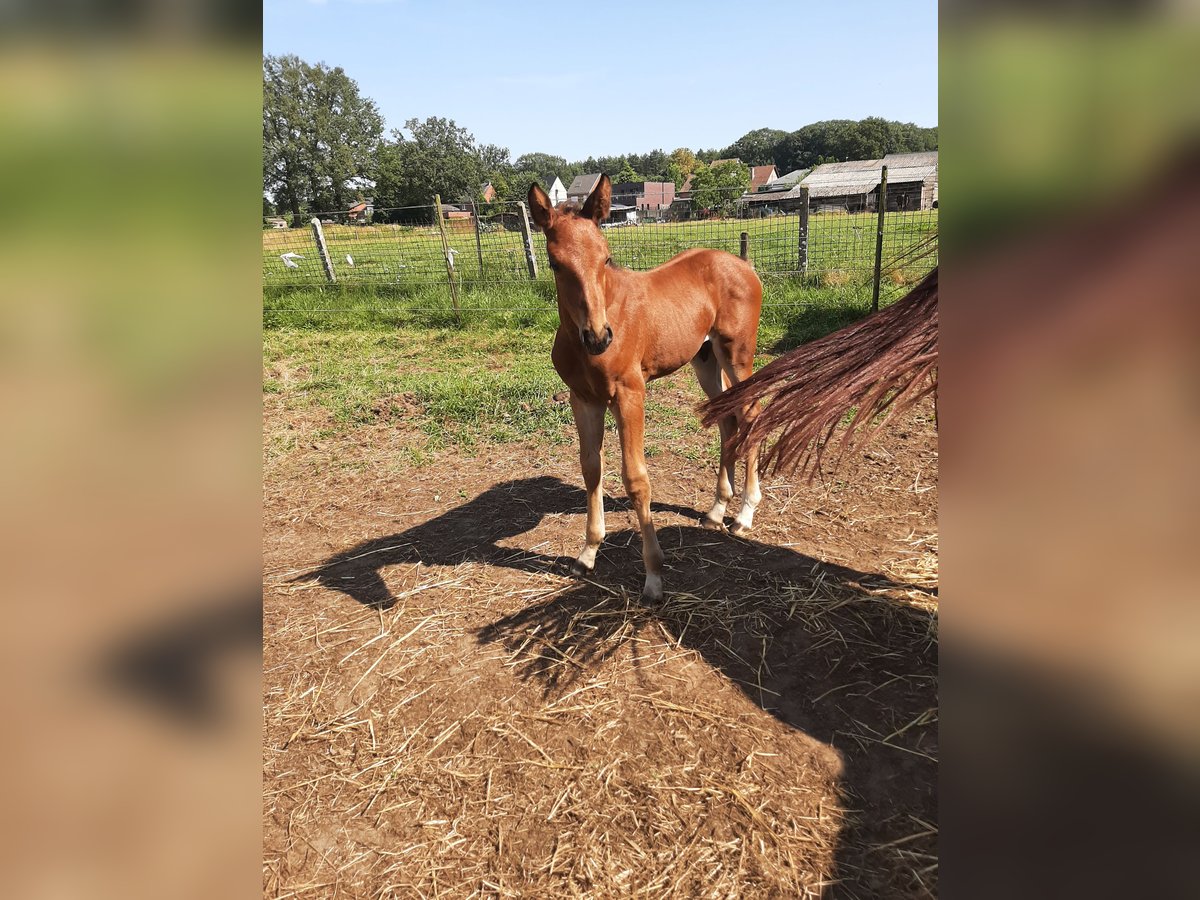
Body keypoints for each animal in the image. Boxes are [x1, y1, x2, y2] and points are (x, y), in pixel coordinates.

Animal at [530, 174, 763, 607]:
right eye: (555, 263)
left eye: (606, 257)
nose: (599, 337)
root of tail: (744, 265)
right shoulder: (583, 399)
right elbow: (591, 469)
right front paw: (588, 554)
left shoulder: (629, 395)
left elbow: (636, 479)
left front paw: (654, 577)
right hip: (705, 359)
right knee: (727, 418)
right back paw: (716, 510)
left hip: (737, 354)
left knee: (751, 414)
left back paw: (743, 515)